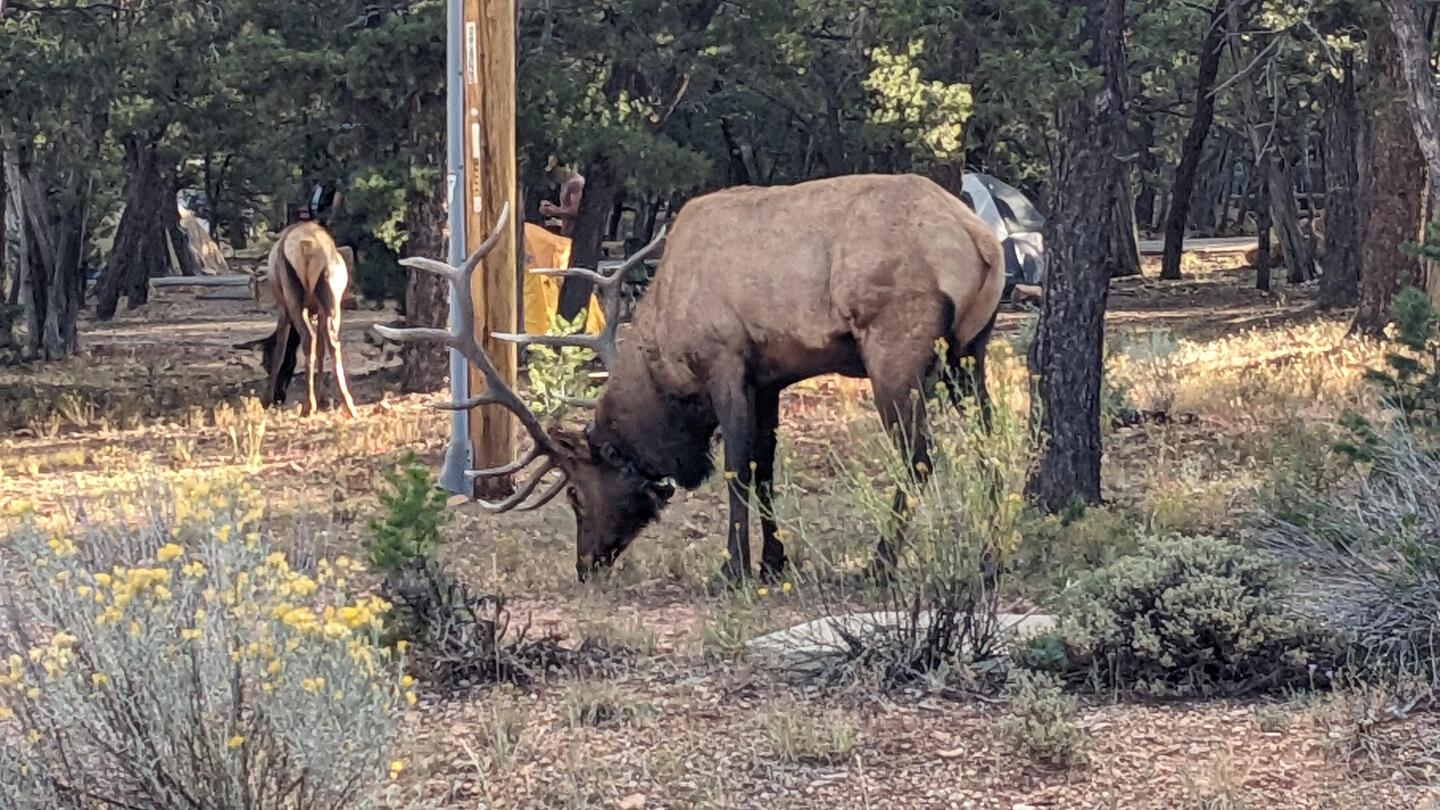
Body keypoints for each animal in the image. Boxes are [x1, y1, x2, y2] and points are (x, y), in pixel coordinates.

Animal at [235, 221, 359, 418]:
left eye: (265, 363)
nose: (279, 396)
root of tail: (307, 246)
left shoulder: (283, 309)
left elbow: (280, 350)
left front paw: (266, 399)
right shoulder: (319, 312)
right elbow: (321, 350)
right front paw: (324, 398)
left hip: (293, 298)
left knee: (309, 339)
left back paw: (309, 405)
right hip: (333, 301)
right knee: (333, 342)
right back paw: (348, 404)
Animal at [380, 174, 1005, 584]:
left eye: (577, 496)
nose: (585, 565)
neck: (666, 369)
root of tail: (982, 242)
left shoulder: (725, 358)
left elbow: (736, 469)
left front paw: (733, 569)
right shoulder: (770, 375)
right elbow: (767, 467)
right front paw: (774, 563)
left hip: (895, 342)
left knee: (919, 455)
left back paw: (879, 565)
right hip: (971, 349)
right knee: (991, 444)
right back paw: (990, 556)